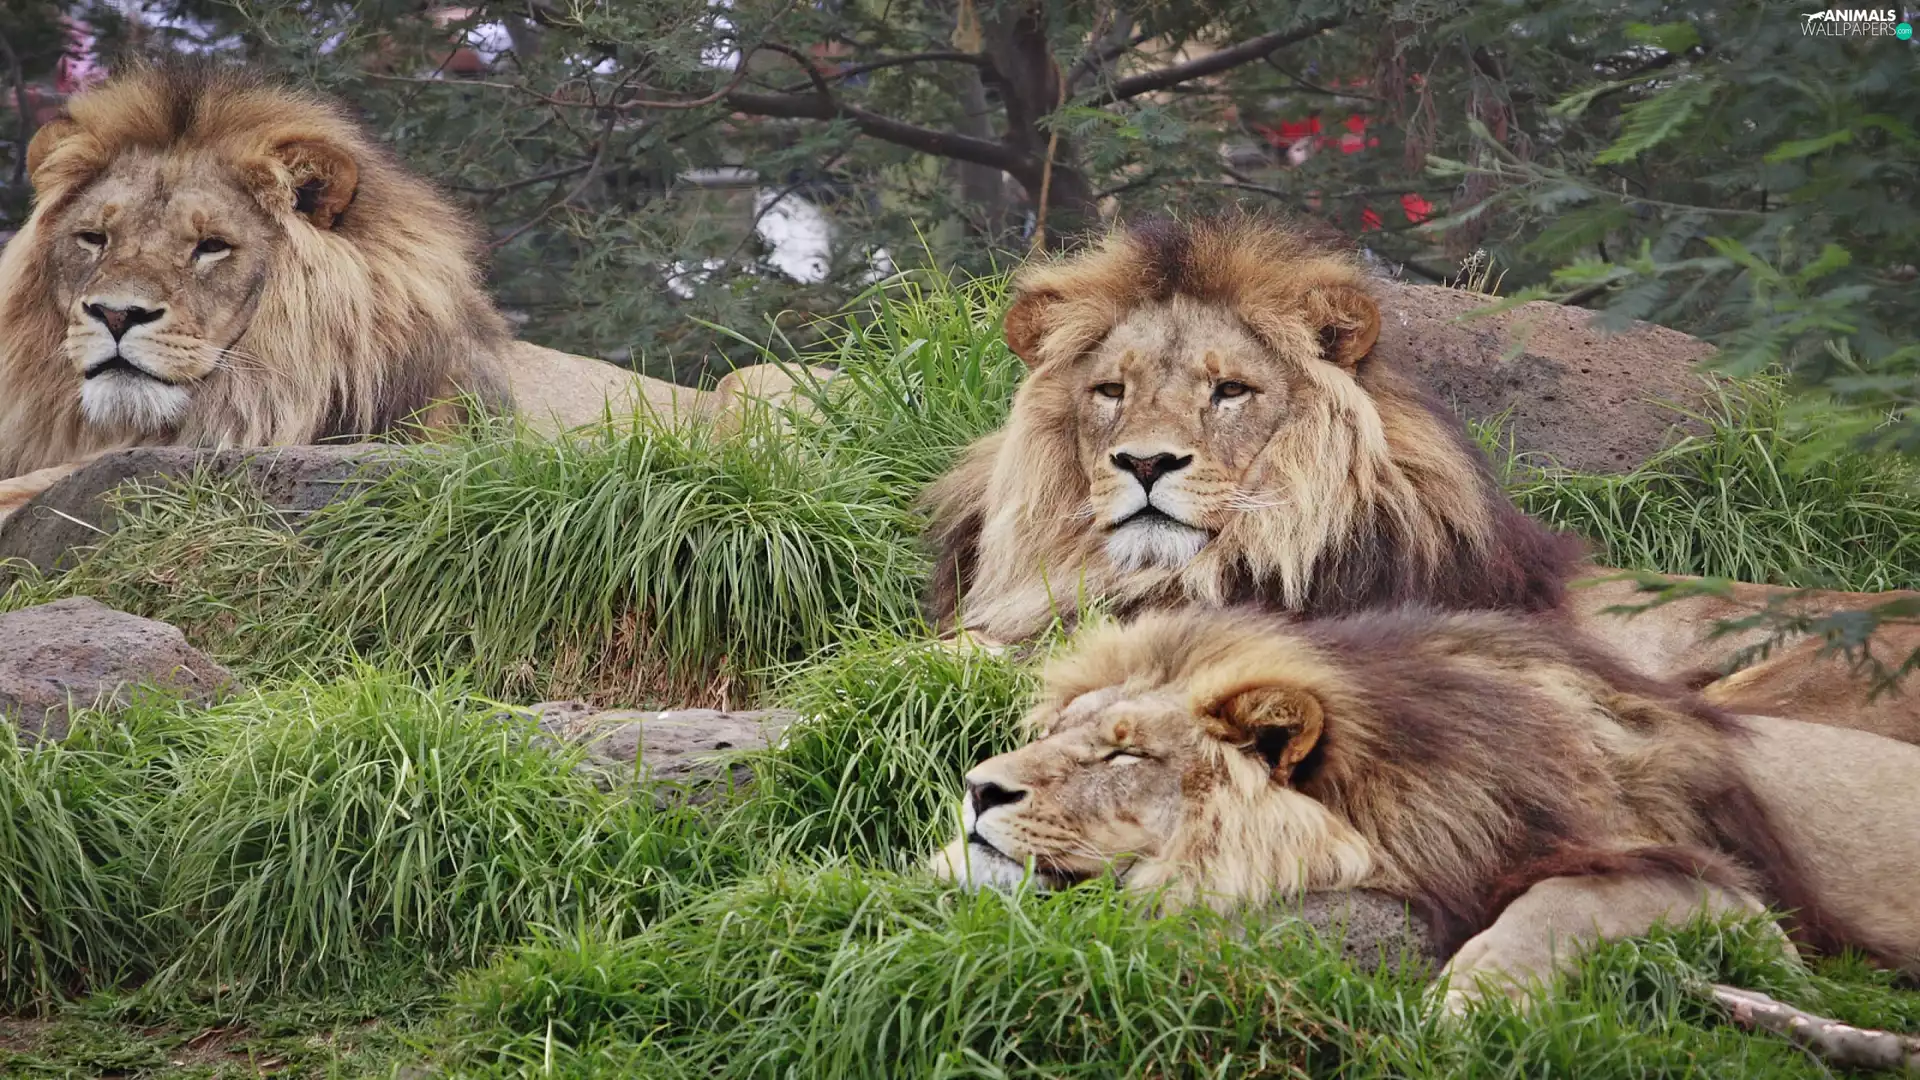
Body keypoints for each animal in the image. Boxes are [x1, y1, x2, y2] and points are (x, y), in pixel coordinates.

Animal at [930, 606, 1920, 1014]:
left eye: (1127, 753)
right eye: (1056, 731)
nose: (979, 787)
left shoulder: (1715, 884)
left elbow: (1554, 902)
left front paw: (1467, 1006)